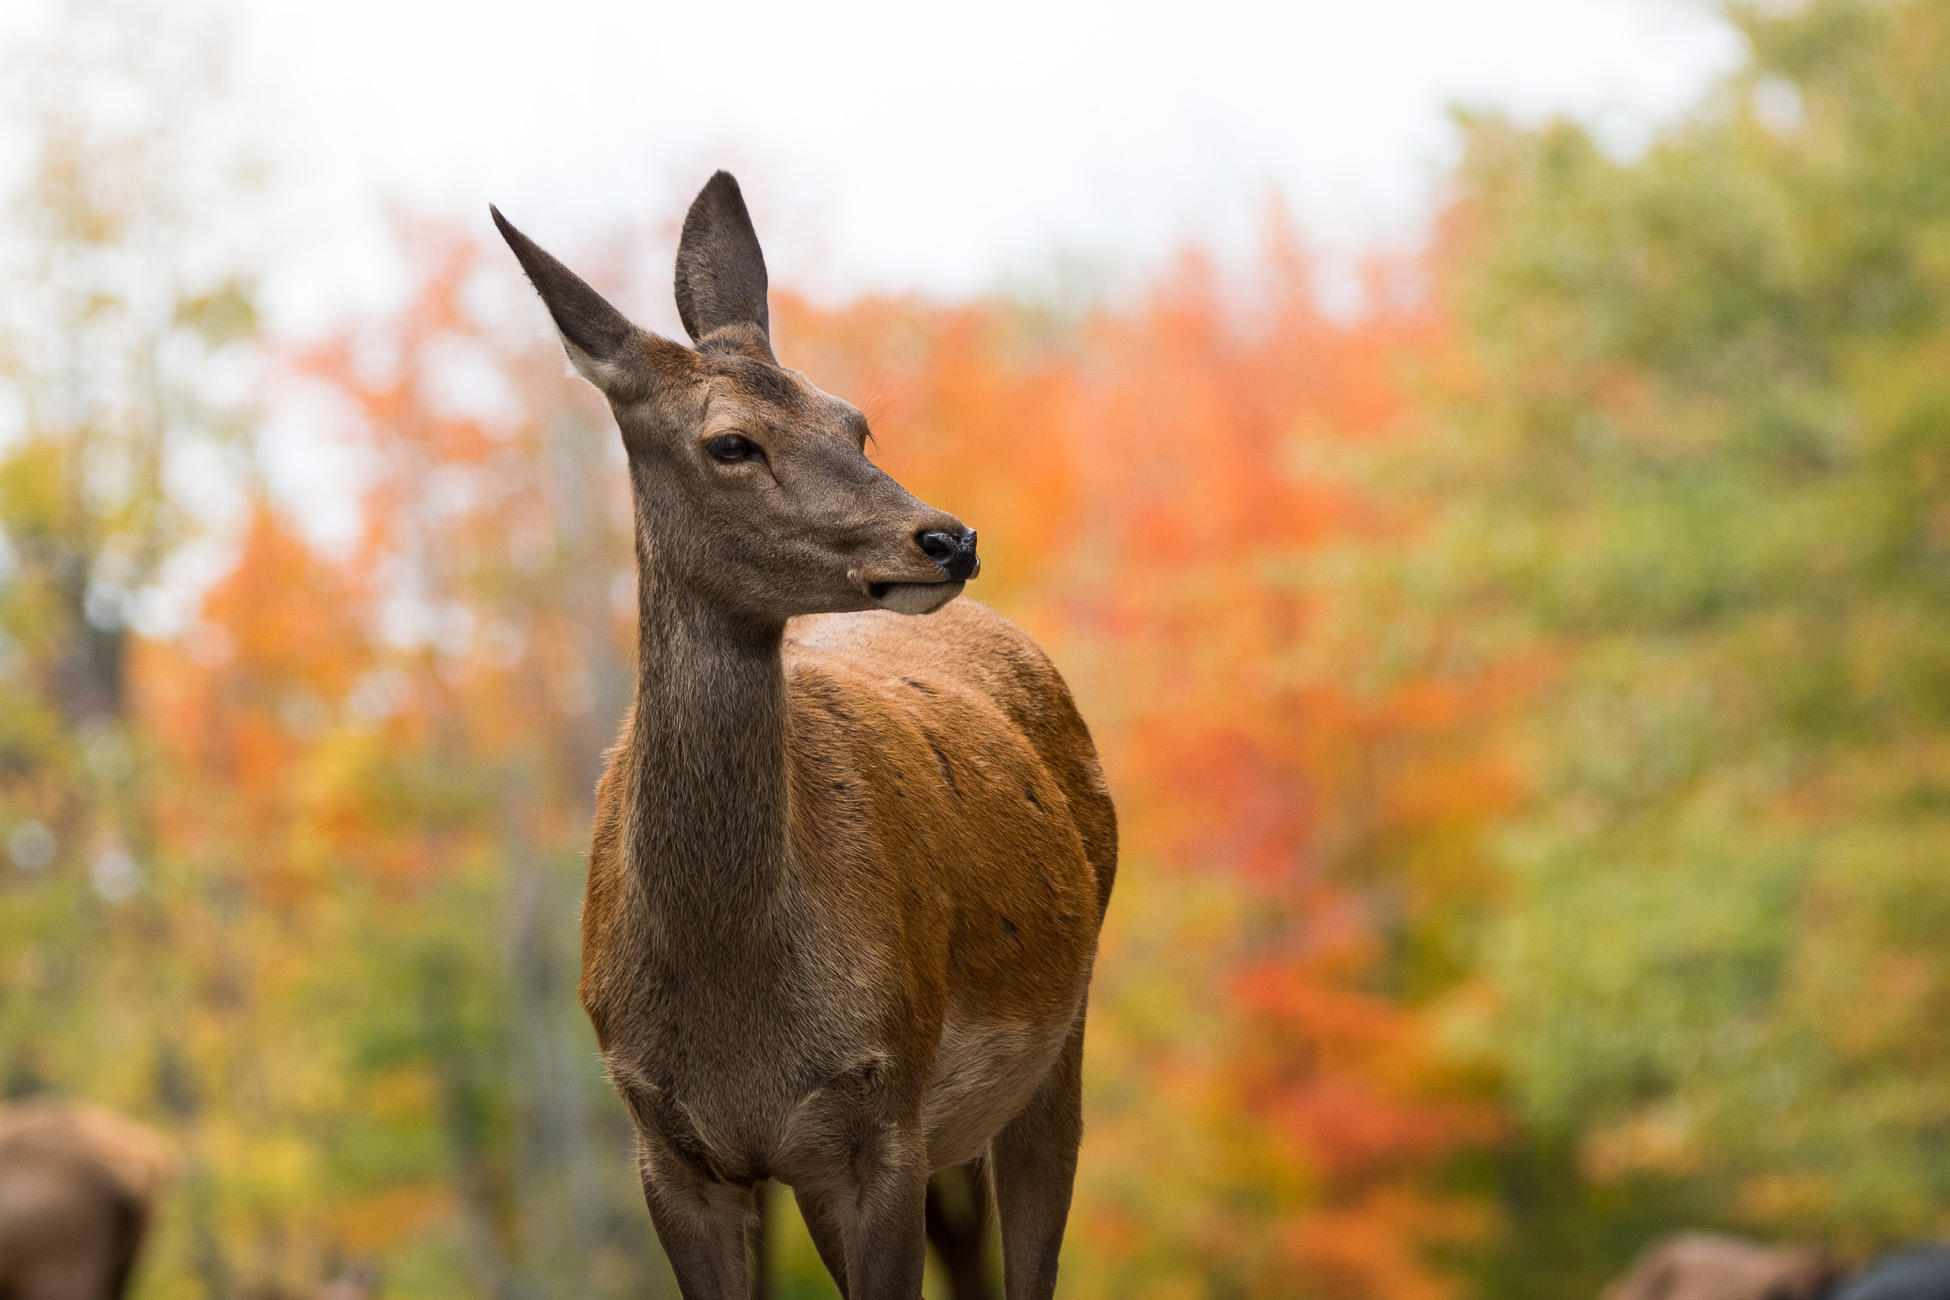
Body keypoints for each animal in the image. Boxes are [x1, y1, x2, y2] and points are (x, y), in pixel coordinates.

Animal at [495, 175, 1123, 1300]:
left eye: (855, 421)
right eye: (731, 443)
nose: (949, 537)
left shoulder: (880, 1110)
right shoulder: (668, 1145)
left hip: (1059, 1032)